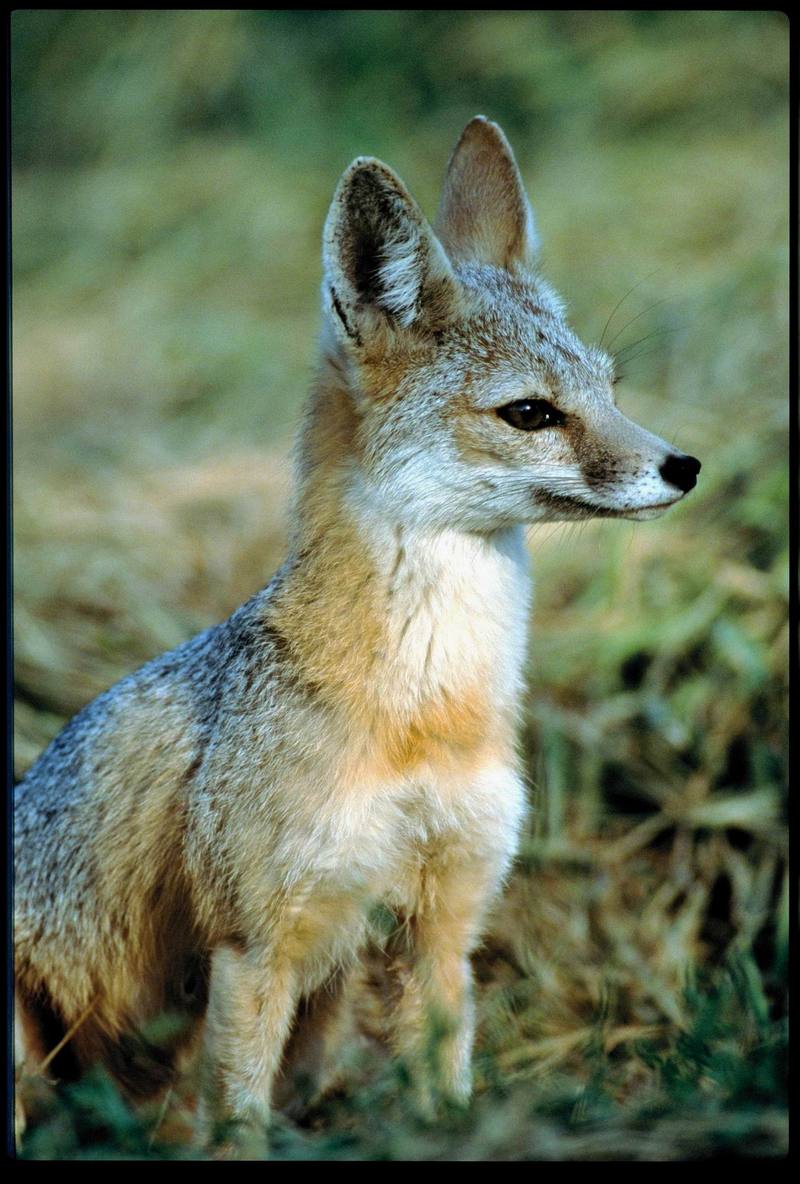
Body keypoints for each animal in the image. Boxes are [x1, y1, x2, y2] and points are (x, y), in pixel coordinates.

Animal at [12, 115, 700, 1141]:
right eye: (530, 413)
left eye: (612, 388)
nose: (685, 466)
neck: (425, 712)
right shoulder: (255, 942)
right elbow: (239, 1129)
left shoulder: (445, 922)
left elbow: (444, 1087)